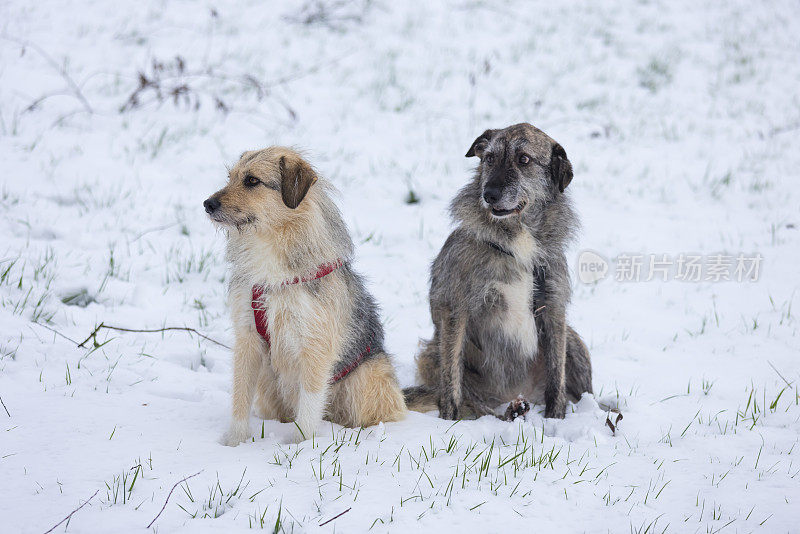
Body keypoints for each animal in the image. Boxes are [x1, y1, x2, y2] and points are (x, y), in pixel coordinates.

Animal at [206, 149, 406, 446]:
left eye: (252, 180)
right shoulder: (247, 337)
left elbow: (310, 400)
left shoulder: (315, 342)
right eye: (229, 177)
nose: (207, 204)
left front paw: (300, 445)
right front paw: (235, 442)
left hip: (365, 381)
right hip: (268, 384)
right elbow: (240, 395)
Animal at [406, 123, 592, 420]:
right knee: (475, 402)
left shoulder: (553, 308)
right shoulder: (455, 307)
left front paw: (556, 418)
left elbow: (557, 377)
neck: (516, 240)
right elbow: (452, 380)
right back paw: (508, 413)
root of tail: (514, 395)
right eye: (490, 158)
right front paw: (448, 421)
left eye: (524, 159)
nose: (489, 194)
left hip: (573, 341)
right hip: (431, 354)